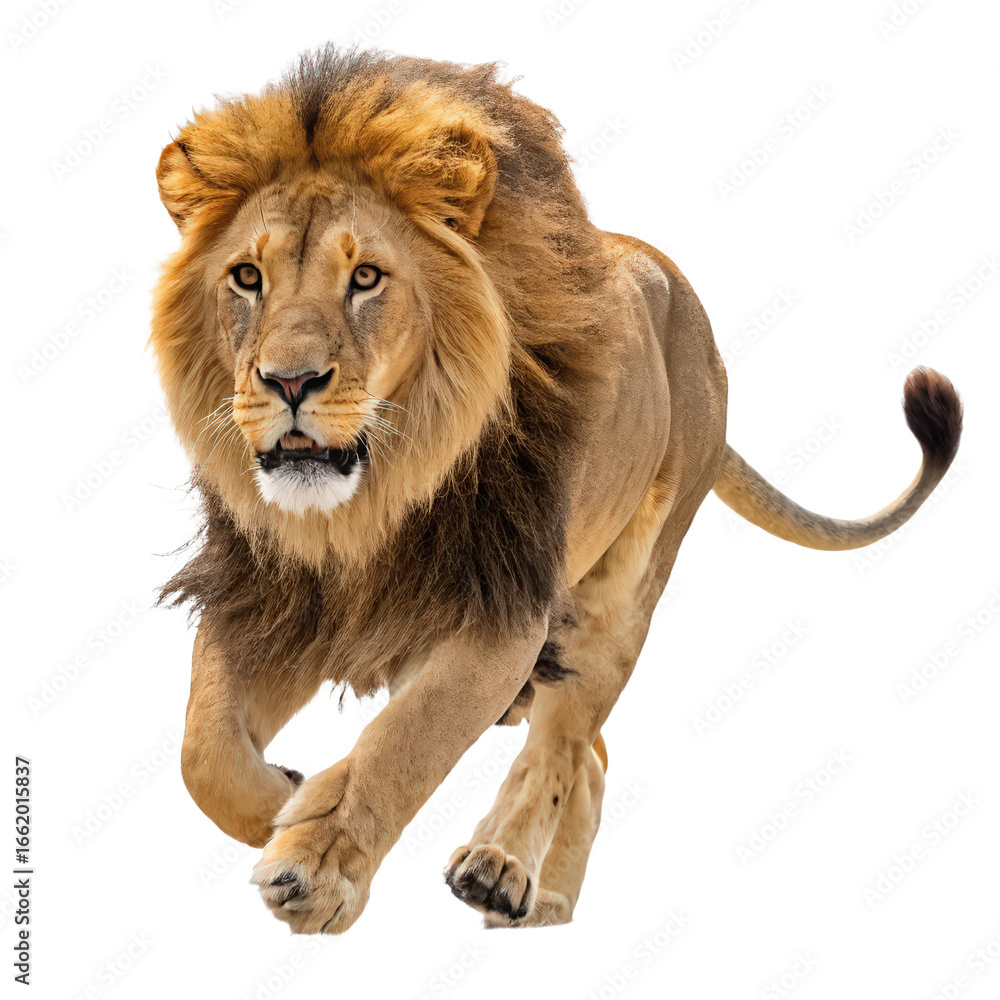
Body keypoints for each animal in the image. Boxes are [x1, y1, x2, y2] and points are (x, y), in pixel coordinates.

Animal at [151, 46, 962, 934]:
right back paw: (547, 905)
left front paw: (316, 864)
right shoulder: (270, 595)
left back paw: (500, 868)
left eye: (365, 277)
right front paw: (284, 797)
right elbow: (200, 749)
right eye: (246, 277)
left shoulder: (503, 610)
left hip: (624, 594)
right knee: (588, 753)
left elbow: (409, 738)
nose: (289, 382)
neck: (369, 505)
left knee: (566, 743)